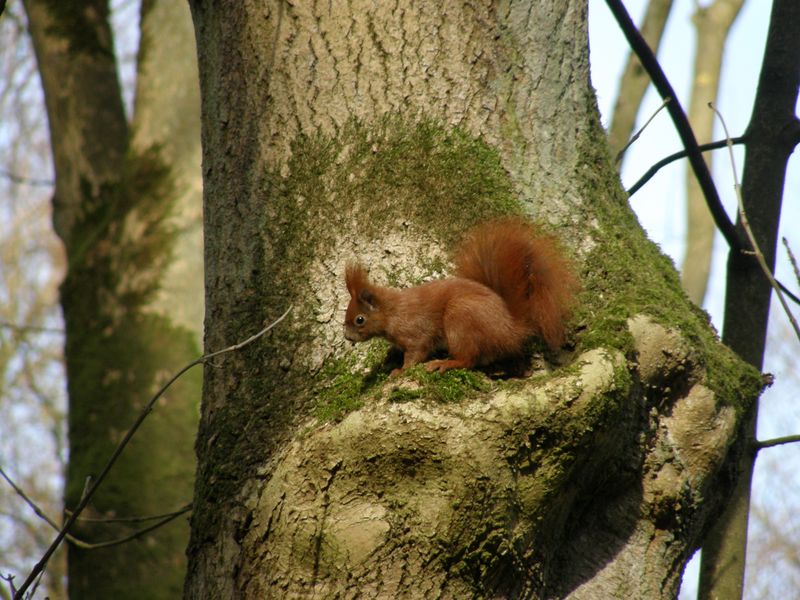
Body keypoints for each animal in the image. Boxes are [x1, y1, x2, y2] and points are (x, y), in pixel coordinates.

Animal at [340, 216, 580, 376]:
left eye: (359, 319)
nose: (347, 337)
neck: (392, 312)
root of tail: (510, 329)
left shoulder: (415, 331)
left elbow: (417, 351)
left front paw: (400, 371)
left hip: (461, 320)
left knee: (468, 359)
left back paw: (445, 363)